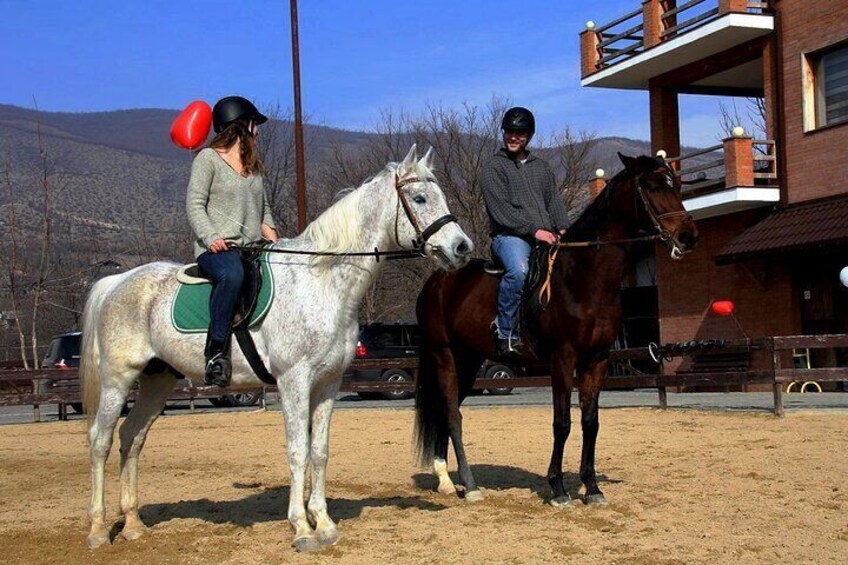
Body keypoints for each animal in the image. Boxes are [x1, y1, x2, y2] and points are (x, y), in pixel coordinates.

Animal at [82, 144, 474, 552]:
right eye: (420, 198)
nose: (462, 248)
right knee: (100, 441)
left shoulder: (328, 383)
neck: (320, 281)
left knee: (132, 437)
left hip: (157, 380)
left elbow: (319, 451)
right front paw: (301, 527)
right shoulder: (294, 381)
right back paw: (98, 530)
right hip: (117, 380)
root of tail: (117, 281)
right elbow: (298, 450)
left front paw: (324, 523)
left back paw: (132, 524)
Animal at [414, 152, 700, 504]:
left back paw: (445, 479)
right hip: (444, 356)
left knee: (446, 410)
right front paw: (558, 488)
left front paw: (592, 487)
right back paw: (469, 485)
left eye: (678, 185)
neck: (584, 278)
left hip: (467, 360)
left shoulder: (597, 359)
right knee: (453, 415)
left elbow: (590, 421)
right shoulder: (563, 359)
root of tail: (438, 280)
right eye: (653, 186)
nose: (688, 236)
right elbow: (561, 422)